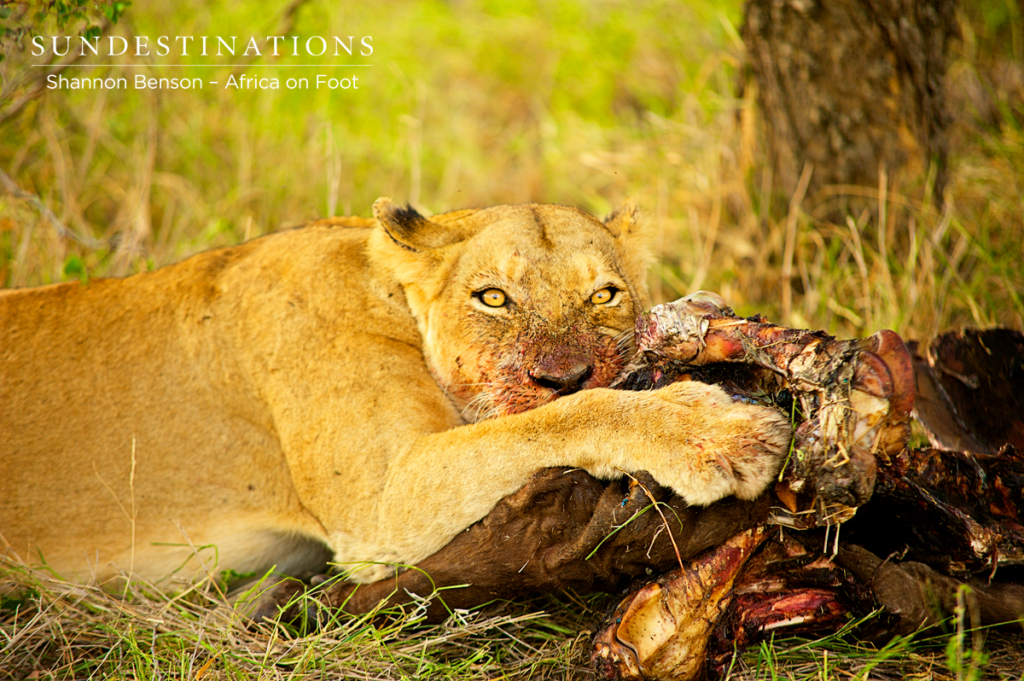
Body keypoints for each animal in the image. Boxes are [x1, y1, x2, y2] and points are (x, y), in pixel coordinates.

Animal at [0, 199, 791, 587]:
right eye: (493, 297)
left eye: (605, 294)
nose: (566, 373)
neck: (384, 294)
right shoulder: (382, 504)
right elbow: (559, 419)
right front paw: (716, 432)